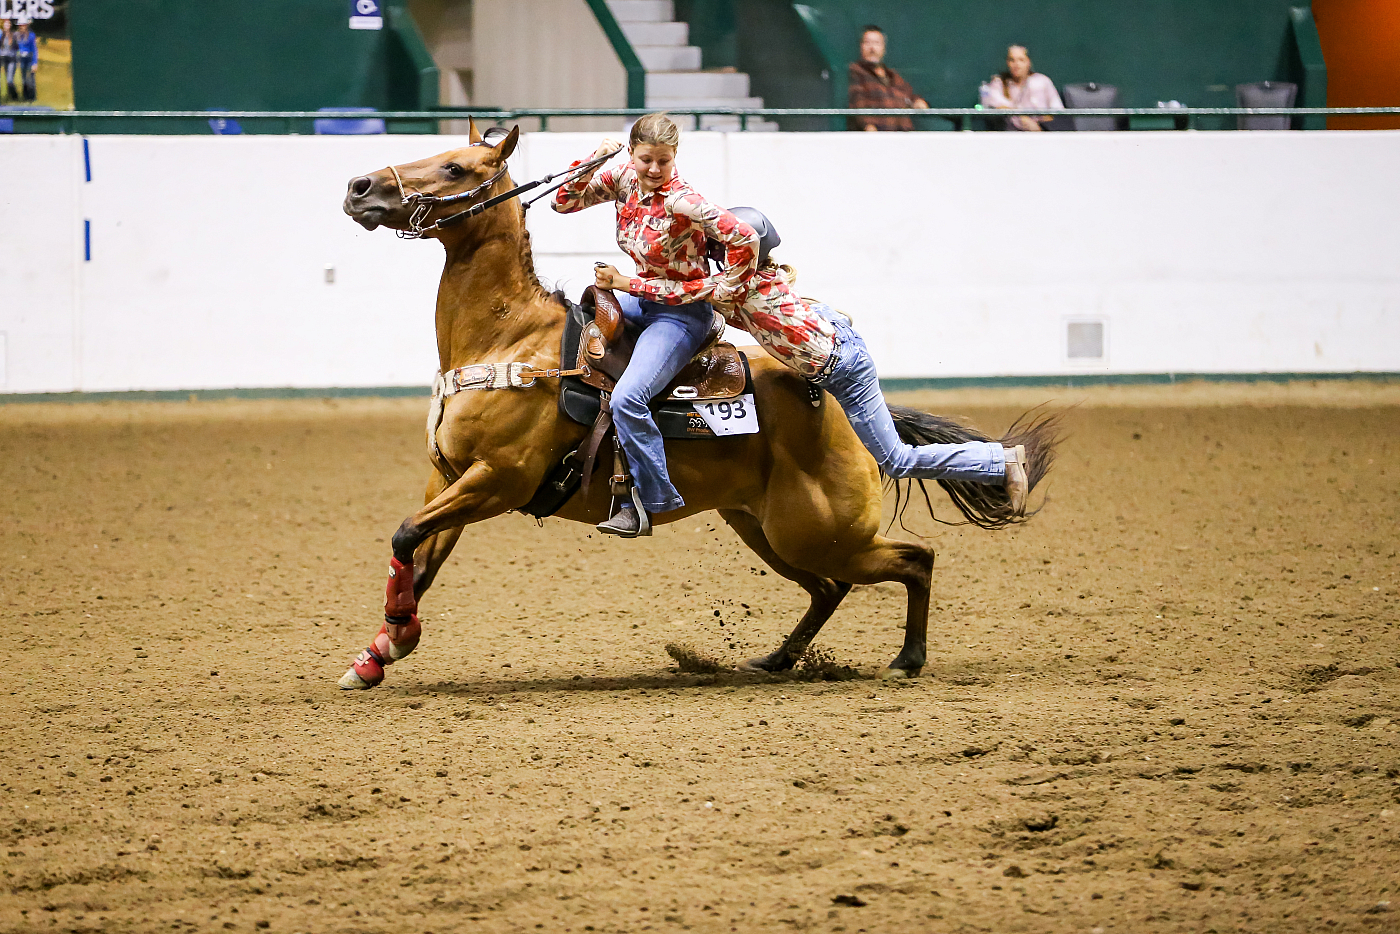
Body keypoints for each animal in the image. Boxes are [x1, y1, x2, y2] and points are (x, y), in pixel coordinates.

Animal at [337, 120, 1060, 690]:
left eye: (456, 167)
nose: (359, 187)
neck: (507, 337)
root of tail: (834, 399)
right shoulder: (450, 479)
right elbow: (417, 556)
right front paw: (381, 650)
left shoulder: (498, 480)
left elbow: (405, 535)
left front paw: (394, 639)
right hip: (768, 529)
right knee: (833, 587)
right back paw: (777, 659)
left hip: (822, 533)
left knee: (914, 560)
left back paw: (907, 657)